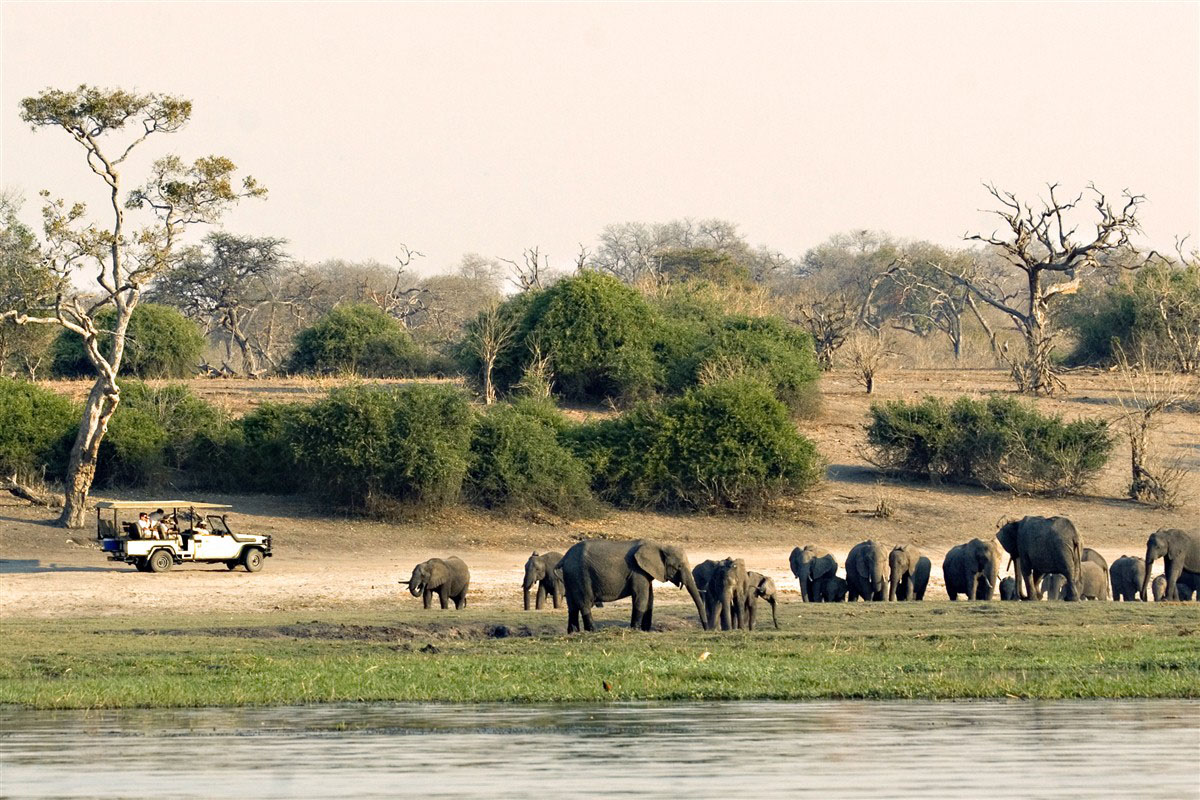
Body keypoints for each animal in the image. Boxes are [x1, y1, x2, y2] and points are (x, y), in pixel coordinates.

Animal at [559, 542, 700, 633]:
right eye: (679, 566)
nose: (704, 628)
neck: (659, 545)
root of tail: (564, 558)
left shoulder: (645, 572)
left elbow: (650, 599)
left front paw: (646, 630)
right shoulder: (637, 571)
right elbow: (641, 597)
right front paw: (636, 630)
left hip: (570, 576)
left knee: (572, 606)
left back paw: (573, 632)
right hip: (580, 574)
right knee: (585, 603)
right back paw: (593, 631)